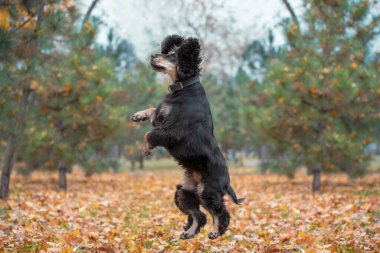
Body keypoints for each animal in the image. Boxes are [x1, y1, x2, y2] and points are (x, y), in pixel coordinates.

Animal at [131, 35, 243, 239]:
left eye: (174, 55)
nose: (153, 56)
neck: (184, 89)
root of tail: (227, 184)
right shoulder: (162, 118)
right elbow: (153, 111)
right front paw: (138, 115)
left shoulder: (174, 131)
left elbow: (149, 133)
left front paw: (147, 149)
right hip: (185, 192)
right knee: (199, 214)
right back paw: (189, 233)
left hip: (208, 191)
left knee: (220, 212)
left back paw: (215, 232)